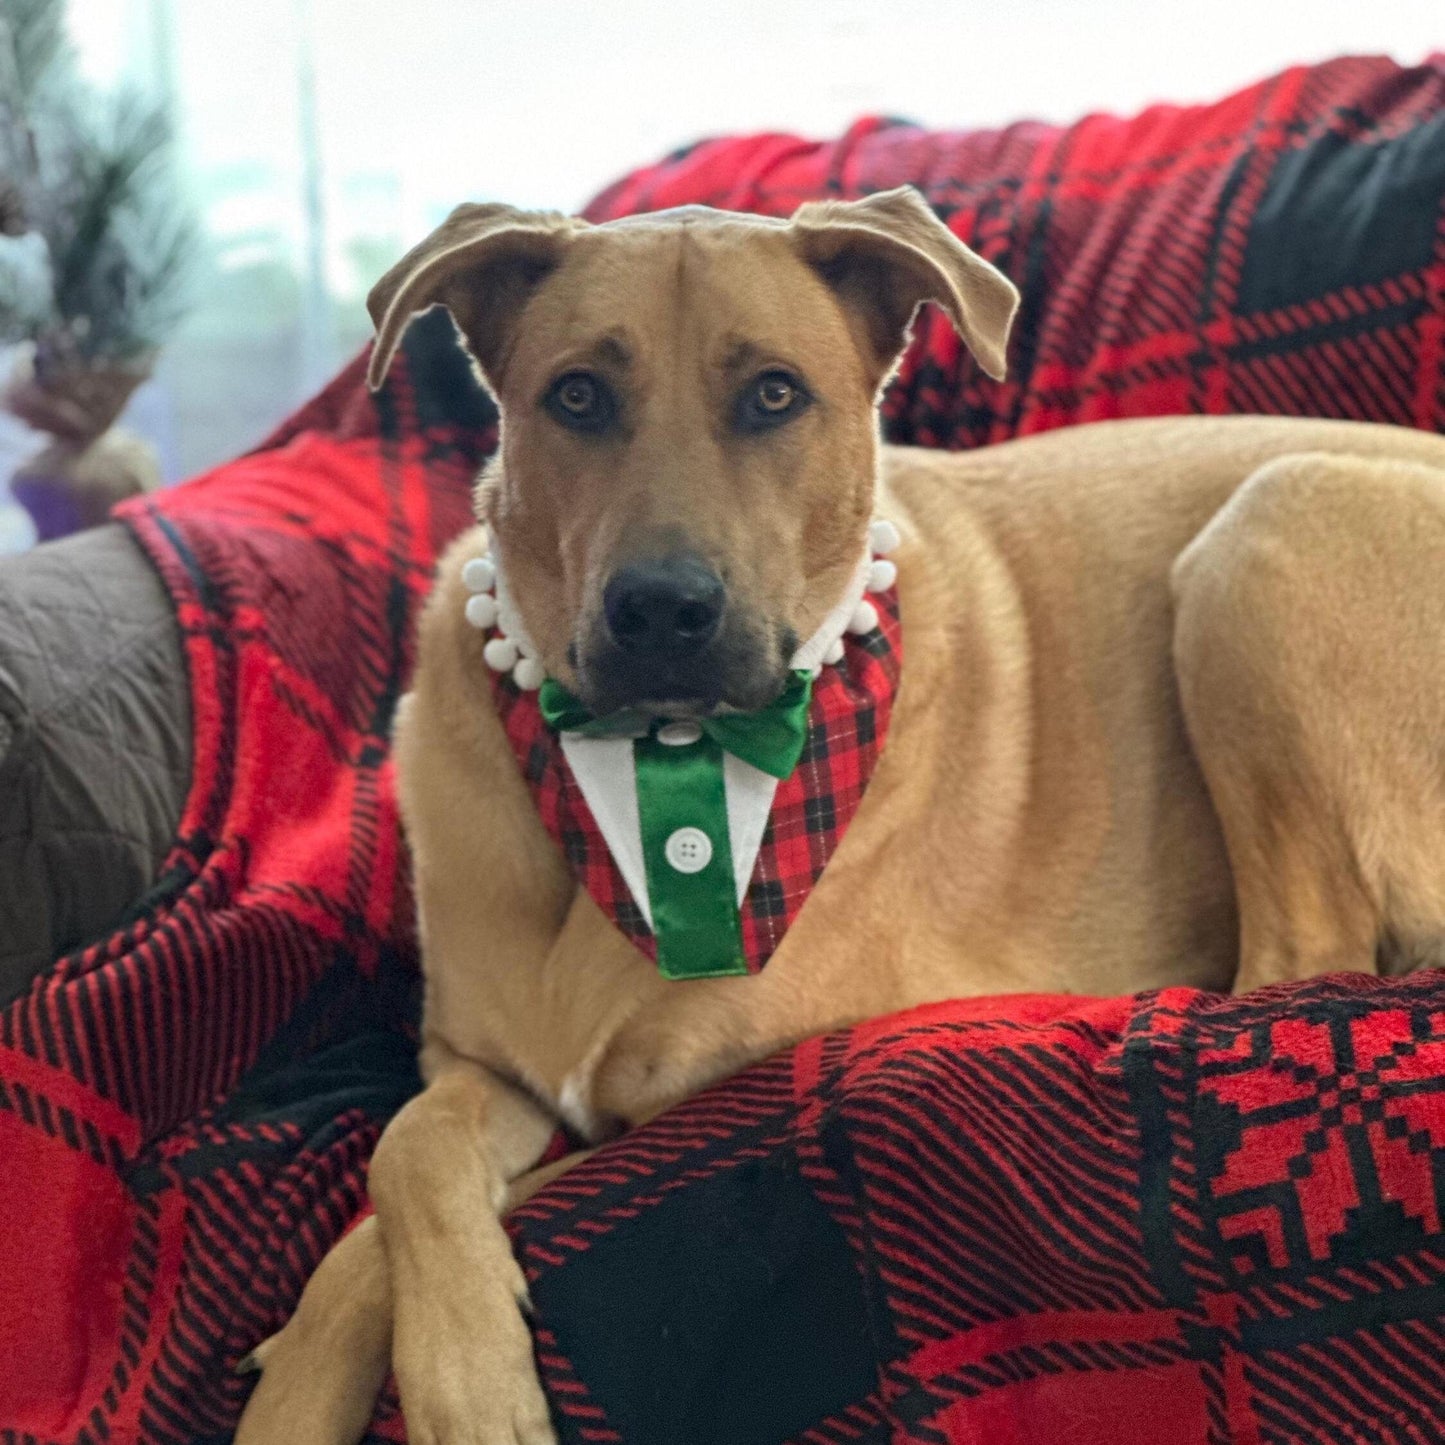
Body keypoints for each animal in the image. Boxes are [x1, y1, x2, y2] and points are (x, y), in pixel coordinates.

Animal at [234, 192, 1445, 1445]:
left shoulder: (691, 1100)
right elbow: (403, 1148)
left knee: (1301, 962)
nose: (660, 611)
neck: (649, 769)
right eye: (576, 395)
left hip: (1265, 525)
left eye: (774, 394)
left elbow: (464, 1193)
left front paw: (453, 1379)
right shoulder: (477, 1065)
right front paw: (331, 1380)